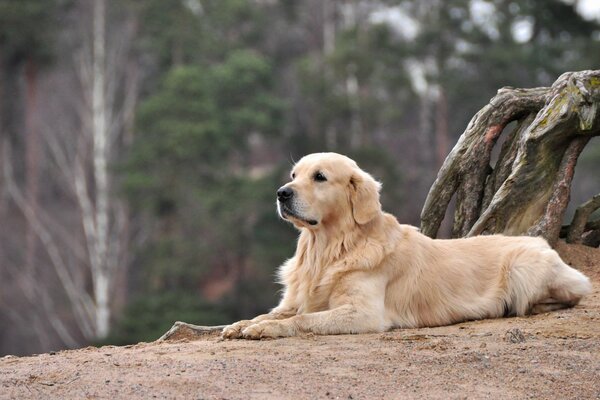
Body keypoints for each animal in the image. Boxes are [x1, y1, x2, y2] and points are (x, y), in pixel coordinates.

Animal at [221, 152, 592, 340]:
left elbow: (302, 320)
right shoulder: (295, 298)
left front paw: (265, 329)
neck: (330, 248)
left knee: (569, 295)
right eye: (294, 175)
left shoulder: (363, 312)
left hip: (523, 266)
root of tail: (543, 241)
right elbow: (274, 312)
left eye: (320, 177)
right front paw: (243, 324)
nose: (281, 193)